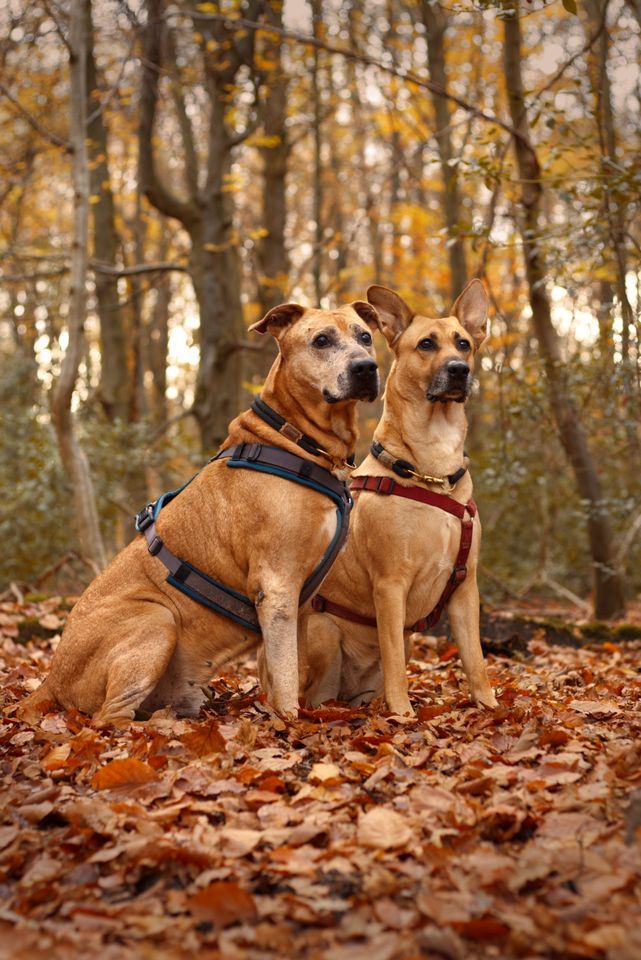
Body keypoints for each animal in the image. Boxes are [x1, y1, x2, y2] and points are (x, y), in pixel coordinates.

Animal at [21, 298, 380, 720]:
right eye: (321, 340)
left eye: (365, 337)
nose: (365, 368)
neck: (297, 441)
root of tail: (51, 679)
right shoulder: (277, 587)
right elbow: (287, 672)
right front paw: (291, 722)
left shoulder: (300, 603)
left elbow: (291, 666)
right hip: (156, 619)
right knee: (109, 719)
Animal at [298, 282, 496, 716]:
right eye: (426, 344)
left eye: (464, 343)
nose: (459, 369)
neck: (433, 473)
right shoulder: (390, 587)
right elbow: (393, 665)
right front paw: (403, 714)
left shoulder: (465, 590)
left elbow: (475, 659)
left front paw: (492, 707)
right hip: (322, 632)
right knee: (312, 692)